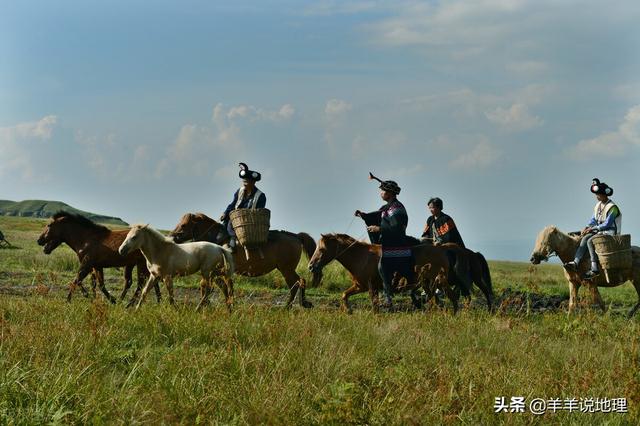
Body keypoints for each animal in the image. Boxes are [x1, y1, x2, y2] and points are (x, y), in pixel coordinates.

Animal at [171, 213, 318, 310]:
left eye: (184, 225)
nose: (173, 237)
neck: (216, 241)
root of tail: (296, 236)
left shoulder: (214, 271)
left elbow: (210, 286)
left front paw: (204, 306)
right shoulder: (217, 273)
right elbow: (222, 287)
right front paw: (228, 305)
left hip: (286, 269)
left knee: (296, 283)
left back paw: (289, 306)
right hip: (287, 269)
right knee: (300, 282)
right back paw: (301, 303)